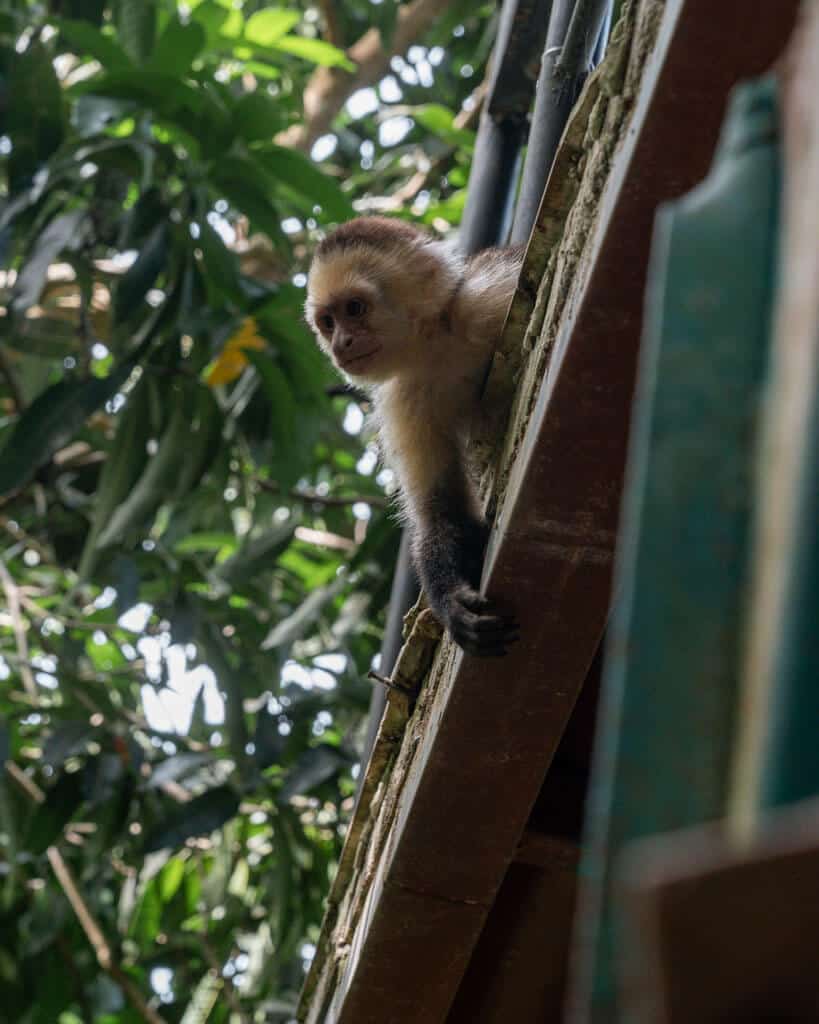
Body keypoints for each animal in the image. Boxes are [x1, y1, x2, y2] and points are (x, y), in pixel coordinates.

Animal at [303, 220, 522, 659]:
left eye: (355, 308)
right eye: (328, 321)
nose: (340, 345)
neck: (438, 341)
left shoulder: (490, 296)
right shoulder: (407, 396)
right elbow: (442, 508)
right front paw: (450, 601)